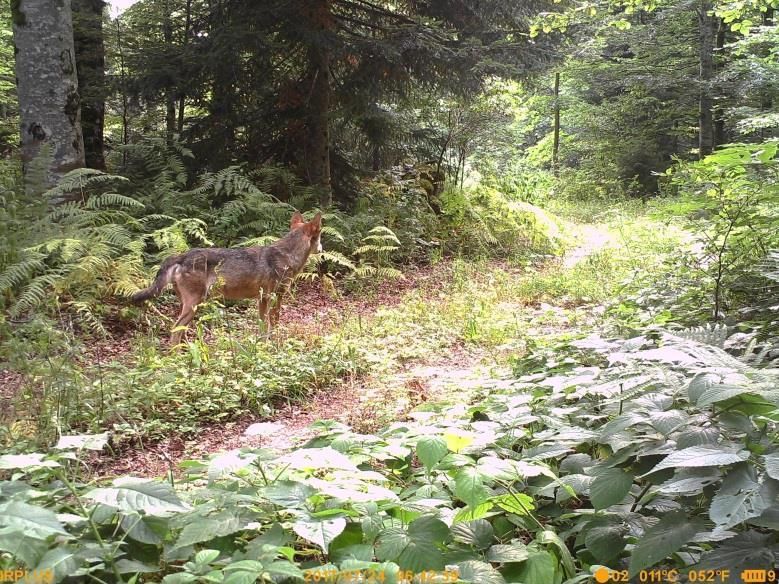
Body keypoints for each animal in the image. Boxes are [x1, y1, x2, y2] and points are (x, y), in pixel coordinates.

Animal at [133, 212, 322, 344]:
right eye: (320, 237)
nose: (321, 248)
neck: (287, 255)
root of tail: (181, 255)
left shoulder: (262, 300)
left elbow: (263, 327)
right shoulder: (272, 297)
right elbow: (271, 326)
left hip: (190, 306)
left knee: (182, 331)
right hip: (194, 304)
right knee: (175, 331)